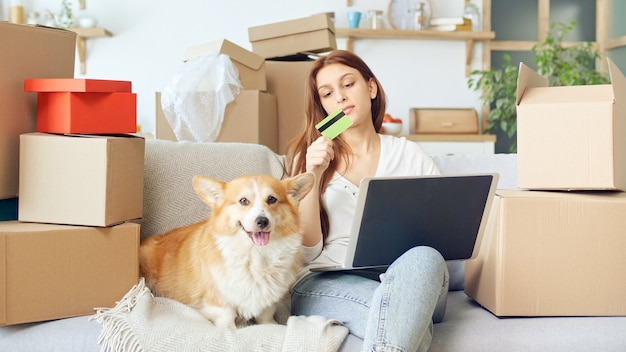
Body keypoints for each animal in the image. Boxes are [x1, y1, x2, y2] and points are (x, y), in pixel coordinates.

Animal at [140, 172, 312, 328]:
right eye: (243, 201)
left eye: (272, 199)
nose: (262, 221)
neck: (255, 255)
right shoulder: (218, 302)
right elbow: (227, 320)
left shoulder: (268, 303)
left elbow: (266, 318)